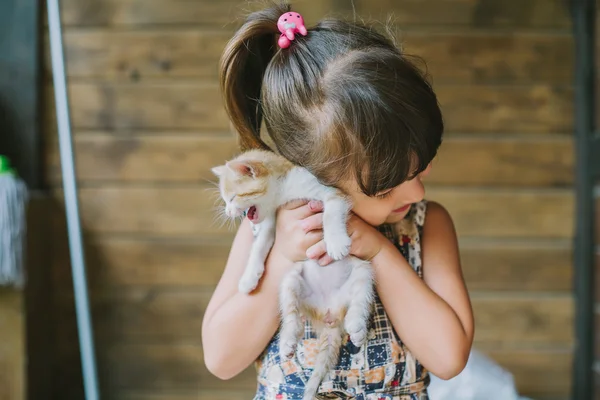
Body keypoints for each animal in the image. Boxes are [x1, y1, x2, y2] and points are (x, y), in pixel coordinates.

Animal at [213, 149, 376, 400]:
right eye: (225, 200)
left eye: (232, 198)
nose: (228, 212)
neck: (282, 192)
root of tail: (330, 315)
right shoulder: (272, 221)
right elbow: (260, 245)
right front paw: (249, 277)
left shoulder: (330, 193)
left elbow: (331, 213)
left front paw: (336, 241)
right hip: (291, 281)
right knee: (291, 315)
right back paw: (288, 342)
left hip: (363, 272)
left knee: (360, 301)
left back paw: (357, 327)